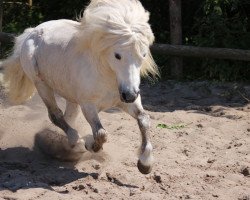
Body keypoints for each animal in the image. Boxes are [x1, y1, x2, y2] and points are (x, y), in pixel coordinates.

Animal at [2, 0, 158, 173]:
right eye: (117, 55)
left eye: (143, 55)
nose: (130, 95)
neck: (107, 76)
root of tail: (32, 32)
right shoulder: (88, 105)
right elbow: (101, 133)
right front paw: (89, 144)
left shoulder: (125, 102)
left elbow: (144, 119)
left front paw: (145, 163)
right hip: (42, 85)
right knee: (56, 115)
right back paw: (74, 142)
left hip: (71, 97)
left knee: (67, 117)